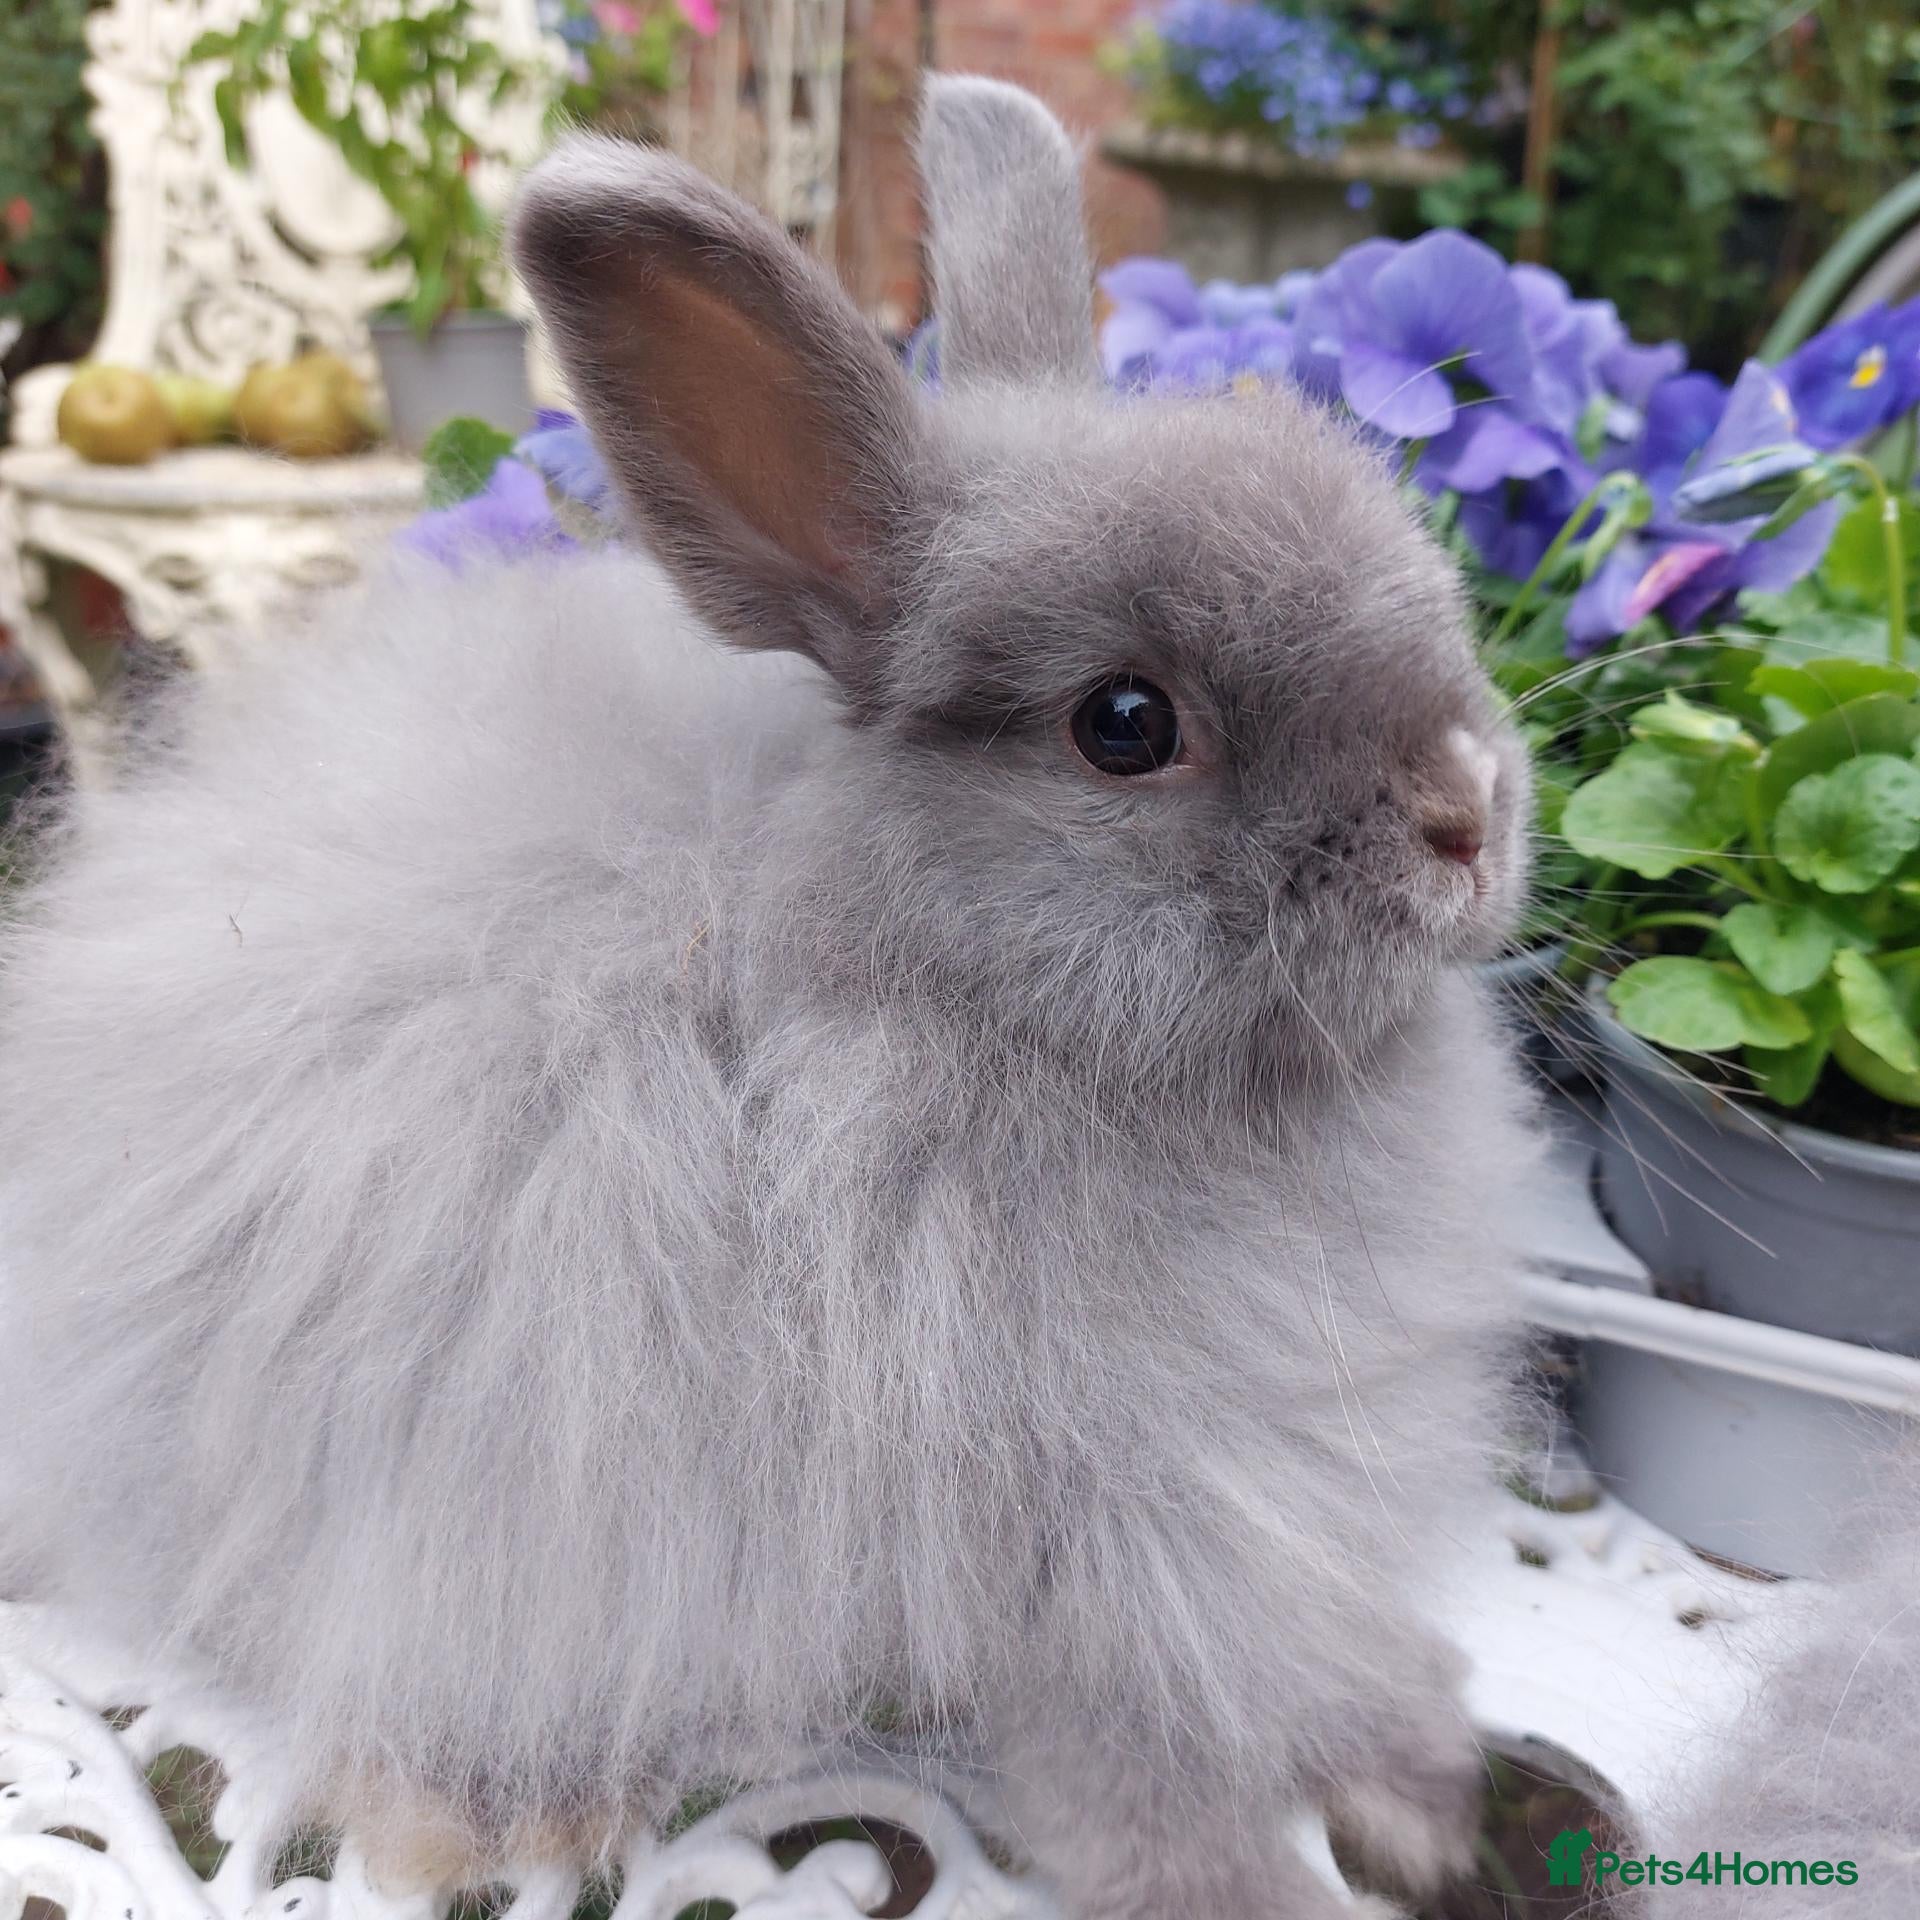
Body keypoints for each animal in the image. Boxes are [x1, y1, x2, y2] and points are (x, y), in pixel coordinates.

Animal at [0, 75, 1544, 1918]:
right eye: (1123, 724)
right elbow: (1142, 1751)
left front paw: (1426, 1796)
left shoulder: (1275, 1483)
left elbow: (1321, 1652)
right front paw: (1251, 1883)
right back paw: (499, 1818)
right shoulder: (1079, 1535)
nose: (1467, 815)